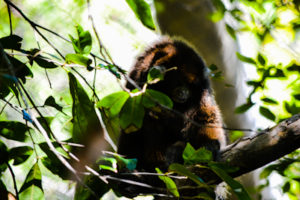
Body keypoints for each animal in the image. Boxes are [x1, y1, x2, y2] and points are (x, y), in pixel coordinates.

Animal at [117, 37, 225, 172]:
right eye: (179, 82)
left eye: (190, 86)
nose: (184, 92)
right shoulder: (136, 79)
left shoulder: (203, 90)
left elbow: (206, 115)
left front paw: (210, 145)